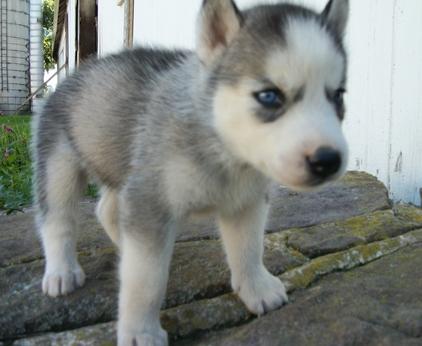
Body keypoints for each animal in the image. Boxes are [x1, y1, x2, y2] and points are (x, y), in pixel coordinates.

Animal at [32, 0, 350, 344]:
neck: (225, 152)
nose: (328, 160)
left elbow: (249, 249)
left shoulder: (247, 202)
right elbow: (146, 279)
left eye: (338, 96)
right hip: (60, 165)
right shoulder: (150, 201)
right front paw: (141, 331)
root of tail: (76, 73)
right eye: (269, 96)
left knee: (107, 210)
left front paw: (257, 288)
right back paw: (61, 271)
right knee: (58, 219)